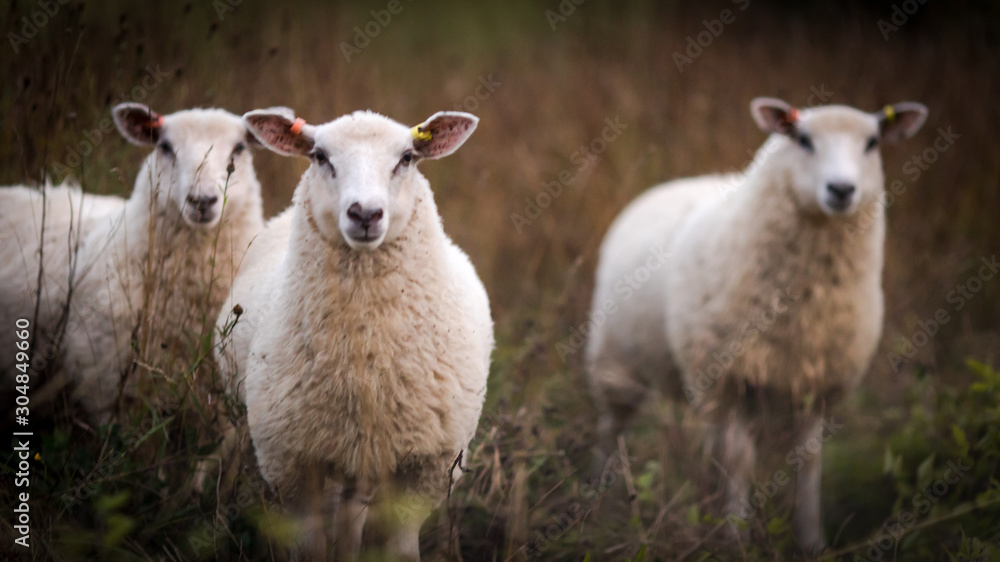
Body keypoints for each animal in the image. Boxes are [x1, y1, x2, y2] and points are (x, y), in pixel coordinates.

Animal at [220, 107, 496, 556]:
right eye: (319, 156)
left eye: (407, 158)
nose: (365, 214)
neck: (365, 356)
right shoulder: (292, 463)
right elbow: (311, 548)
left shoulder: (427, 466)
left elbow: (401, 549)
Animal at [584, 98, 928, 548]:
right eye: (803, 139)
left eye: (872, 143)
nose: (841, 190)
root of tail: (673, 184)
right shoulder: (730, 379)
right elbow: (739, 460)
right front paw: (736, 538)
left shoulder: (815, 385)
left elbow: (808, 462)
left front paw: (810, 541)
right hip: (615, 365)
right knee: (612, 432)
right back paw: (603, 508)